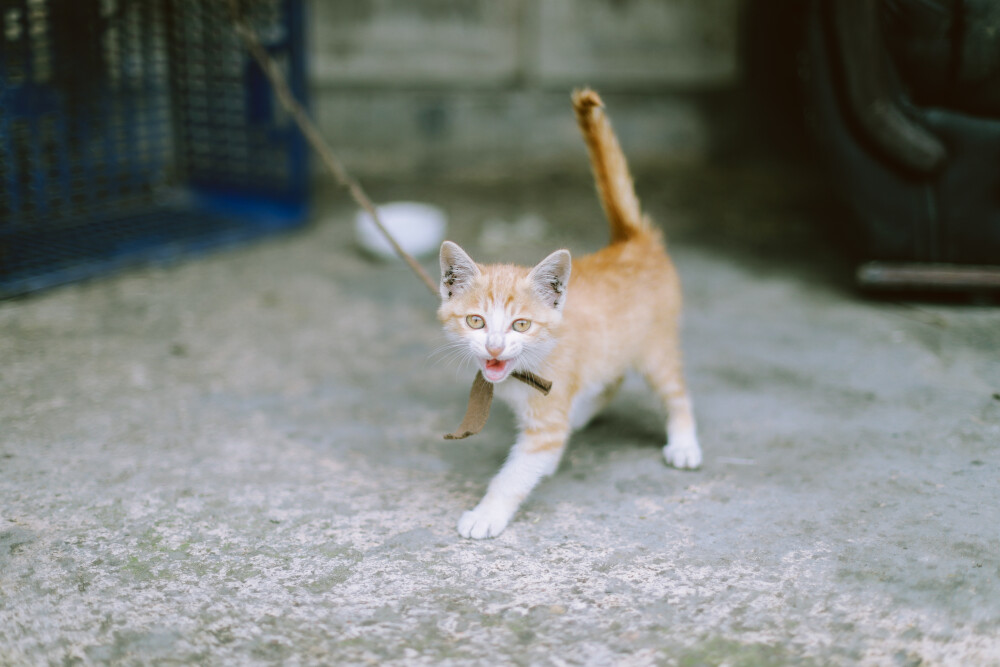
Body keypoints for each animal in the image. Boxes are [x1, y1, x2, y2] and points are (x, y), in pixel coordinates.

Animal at [438, 88, 704, 540]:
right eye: (476, 321)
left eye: (521, 325)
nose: (494, 346)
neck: (521, 373)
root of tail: (633, 241)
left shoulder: (544, 427)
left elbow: (514, 474)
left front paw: (487, 513)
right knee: (612, 377)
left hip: (655, 347)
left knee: (676, 390)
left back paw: (684, 443)